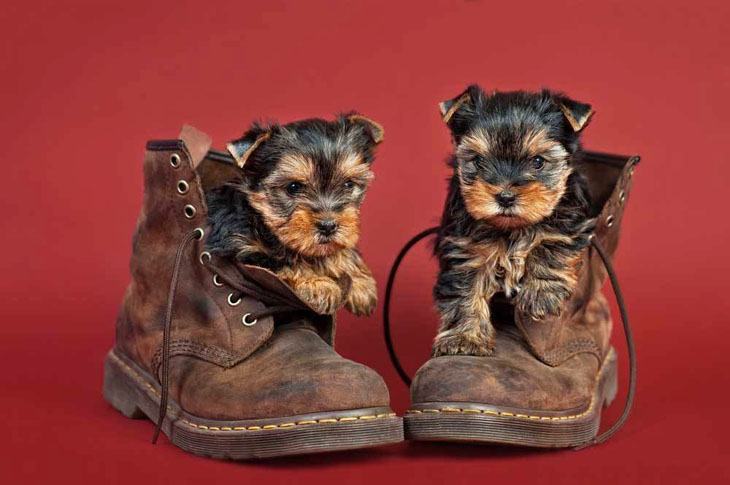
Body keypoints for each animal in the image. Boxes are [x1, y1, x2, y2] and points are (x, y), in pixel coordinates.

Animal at [205, 115, 384, 316]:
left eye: (348, 185)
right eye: (293, 187)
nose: (328, 226)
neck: (262, 223)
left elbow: (336, 249)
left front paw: (361, 282)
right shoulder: (241, 248)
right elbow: (284, 262)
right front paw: (318, 285)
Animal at [432, 85, 592, 354]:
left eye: (538, 161)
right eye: (478, 160)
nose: (505, 197)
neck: (513, 228)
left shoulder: (568, 221)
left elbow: (549, 242)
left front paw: (540, 294)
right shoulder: (466, 249)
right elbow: (465, 289)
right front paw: (465, 338)